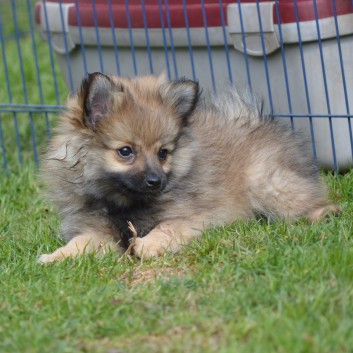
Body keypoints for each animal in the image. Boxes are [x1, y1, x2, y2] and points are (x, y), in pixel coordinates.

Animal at [39, 73, 338, 262]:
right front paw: (55, 256)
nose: (155, 181)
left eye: (163, 153)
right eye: (126, 151)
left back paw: (325, 215)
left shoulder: (188, 217)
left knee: (311, 201)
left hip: (267, 184)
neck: (125, 204)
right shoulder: (97, 231)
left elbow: (166, 229)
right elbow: (80, 242)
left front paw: (147, 245)